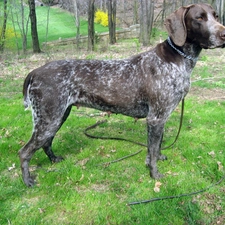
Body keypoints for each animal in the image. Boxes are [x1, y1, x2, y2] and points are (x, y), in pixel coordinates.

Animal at [18, 3, 225, 186]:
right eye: (199, 18)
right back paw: (27, 181)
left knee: (46, 143)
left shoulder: (161, 118)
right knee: (25, 152)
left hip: (57, 116)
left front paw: (158, 159)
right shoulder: (155, 118)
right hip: (48, 119)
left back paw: (54, 160)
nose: (224, 34)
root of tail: (35, 71)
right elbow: (152, 150)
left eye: (216, 16)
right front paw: (154, 174)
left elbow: (156, 147)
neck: (178, 59)